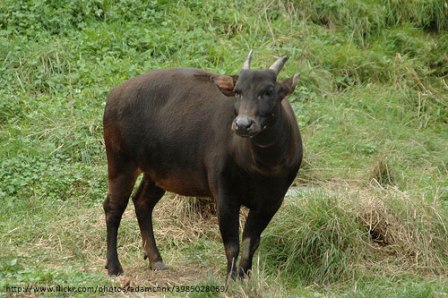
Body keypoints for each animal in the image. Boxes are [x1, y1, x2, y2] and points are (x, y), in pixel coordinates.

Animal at [103, 51, 302, 280]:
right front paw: (230, 279)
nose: (243, 124)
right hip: (120, 162)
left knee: (142, 202)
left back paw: (155, 259)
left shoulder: (272, 202)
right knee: (113, 207)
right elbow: (232, 245)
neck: (262, 166)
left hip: (157, 172)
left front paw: (243, 276)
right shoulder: (225, 195)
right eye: (238, 91)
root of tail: (115, 94)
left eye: (268, 91)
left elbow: (250, 244)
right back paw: (114, 266)